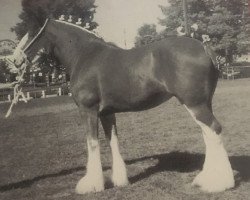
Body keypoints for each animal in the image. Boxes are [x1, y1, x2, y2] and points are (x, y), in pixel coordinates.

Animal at [13, 18, 234, 194]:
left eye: (32, 33)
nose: (14, 60)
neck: (84, 55)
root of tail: (203, 47)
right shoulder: (107, 113)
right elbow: (113, 142)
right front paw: (119, 180)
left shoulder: (88, 110)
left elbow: (92, 143)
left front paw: (92, 185)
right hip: (202, 103)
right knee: (208, 133)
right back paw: (206, 179)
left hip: (194, 103)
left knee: (213, 130)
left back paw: (218, 183)